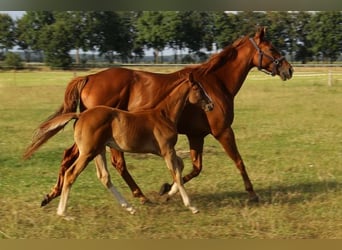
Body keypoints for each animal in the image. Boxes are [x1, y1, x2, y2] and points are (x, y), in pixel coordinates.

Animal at [23, 26, 294, 206]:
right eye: (273, 48)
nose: (288, 69)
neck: (216, 84)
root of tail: (89, 77)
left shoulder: (197, 135)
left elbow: (195, 167)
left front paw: (167, 188)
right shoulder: (222, 131)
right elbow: (238, 161)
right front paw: (252, 193)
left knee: (77, 156)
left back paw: (52, 194)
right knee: (101, 160)